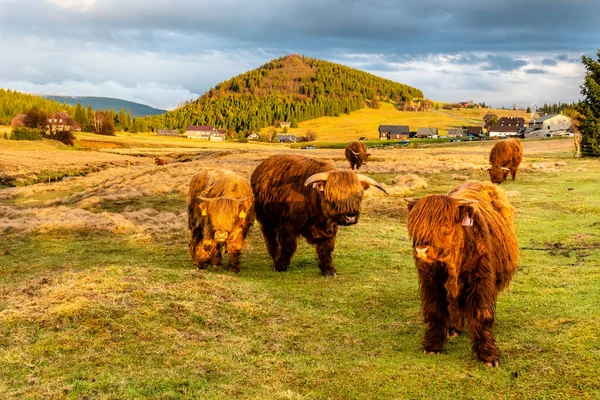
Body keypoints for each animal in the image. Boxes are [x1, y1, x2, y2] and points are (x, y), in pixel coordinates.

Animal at [251, 155, 386, 276]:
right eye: (332, 196)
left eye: (359, 195)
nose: (350, 217)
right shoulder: (287, 226)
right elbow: (288, 246)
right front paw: (280, 266)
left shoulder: (330, 229)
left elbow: (326, 248)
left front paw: (328, 270)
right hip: (266, 220)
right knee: (271, 239)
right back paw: (275, 257)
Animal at [404, 180, 520, 368]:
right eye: (417, 225)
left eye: (446, 224)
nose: (421, 250)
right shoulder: (431, 280)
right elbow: (435, 310)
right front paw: (433, 346)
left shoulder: (481, 280)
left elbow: (481, 314)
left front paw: (488, 356)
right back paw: (454, 329)